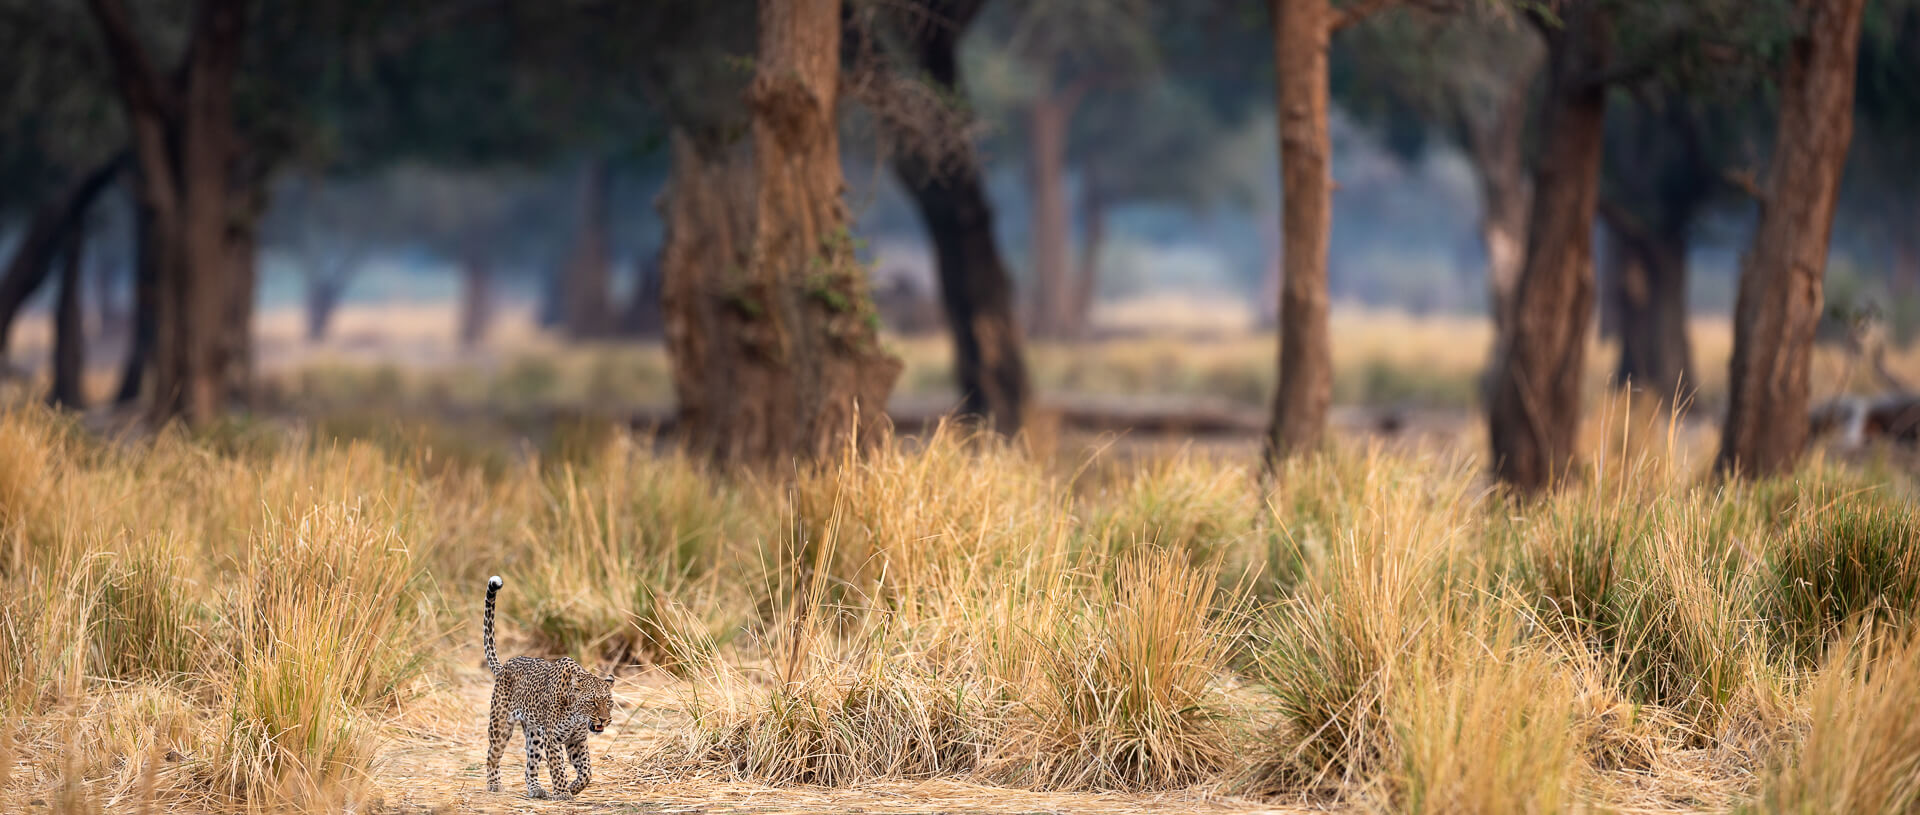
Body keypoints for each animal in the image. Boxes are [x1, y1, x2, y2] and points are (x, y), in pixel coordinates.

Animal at [487, 576, 614, 799]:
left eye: (609, 703)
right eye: (592, 702)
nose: (604, 719)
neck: (575, 714)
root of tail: (504, 666)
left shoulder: (577, 740)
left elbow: (587, 771)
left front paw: (574, 787)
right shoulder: (553, 739)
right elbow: (557, 767)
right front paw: (563, 792)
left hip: (535, 735)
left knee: (530, 765)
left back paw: (536, 789)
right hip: (501, 726)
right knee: (492, 755)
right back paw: (494, 784)